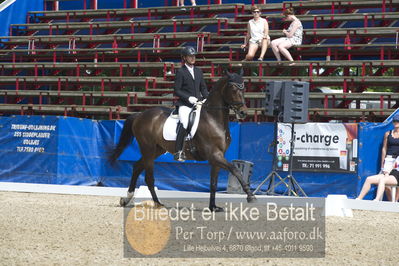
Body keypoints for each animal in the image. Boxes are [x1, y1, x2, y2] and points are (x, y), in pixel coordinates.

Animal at [108, 71, 258, 212]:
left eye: (244, 88)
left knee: (137, 166)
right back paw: (158, 203)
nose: (243, 113)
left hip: (156, 150)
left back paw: (126, 198)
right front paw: (250, 196)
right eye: (233, 88)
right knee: (148, 177)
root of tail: (140, 114)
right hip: (148, 149)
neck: (213, 119)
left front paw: (213, 207)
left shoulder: (218, 157)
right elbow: (235, 170)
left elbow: (213, 183)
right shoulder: (214, 155)